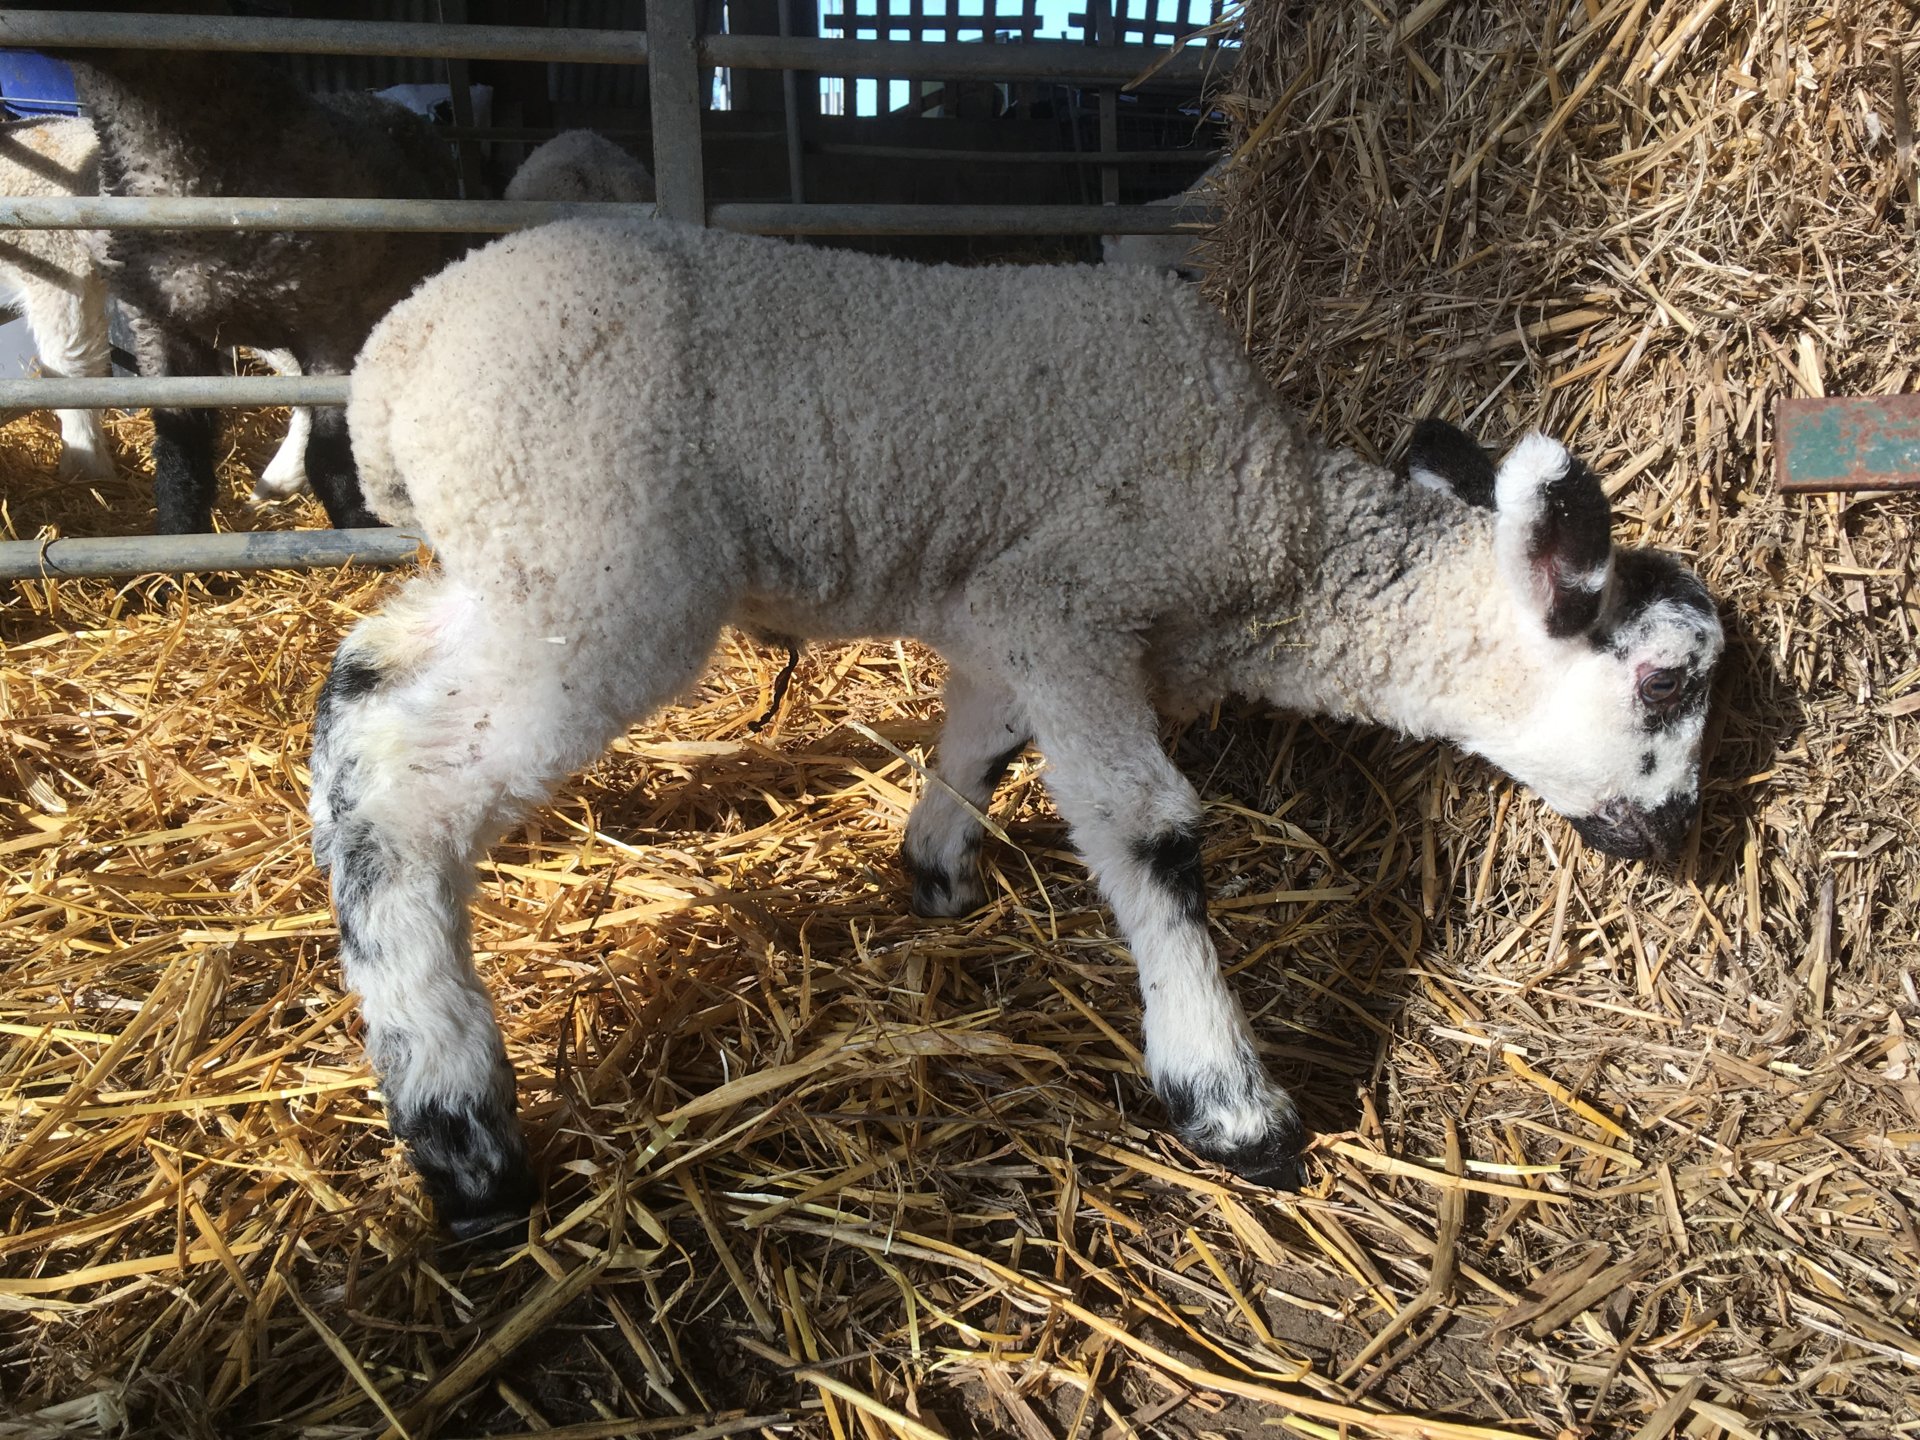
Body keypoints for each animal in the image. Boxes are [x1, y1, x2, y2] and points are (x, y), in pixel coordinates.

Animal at [48, 46, 456, 533]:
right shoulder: (158, 327)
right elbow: (180, 455)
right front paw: (177, 539)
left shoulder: (332, 325)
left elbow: (332, 457)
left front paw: (359, 530)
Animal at [313, 220, 1725, 1238]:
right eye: (1665, 684)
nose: (1674, 839)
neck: (1283, 539)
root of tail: (398, 356)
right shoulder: (1076, 602)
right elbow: (1150, 833)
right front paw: (1232, 1104)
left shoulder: (1006, 611)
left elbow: (980, 744)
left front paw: (935, 874)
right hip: (596, 567)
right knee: (410, 795)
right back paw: (464, 1143)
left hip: (511, 566)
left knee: (356, 701)